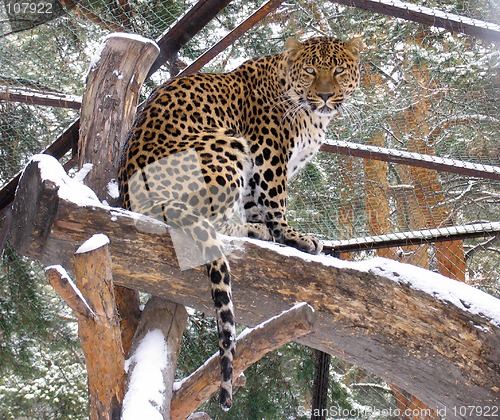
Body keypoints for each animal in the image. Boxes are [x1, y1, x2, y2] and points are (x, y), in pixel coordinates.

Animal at [118, 36, 364, 410]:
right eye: (310, 70)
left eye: (338, 70)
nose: (324, 95)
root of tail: (136, 199)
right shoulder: (269, 150)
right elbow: (276, 199)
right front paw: (291, 237)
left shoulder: (256, 174)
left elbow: (254, 201)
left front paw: (270, 234)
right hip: (225, 142)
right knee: (214, 220)